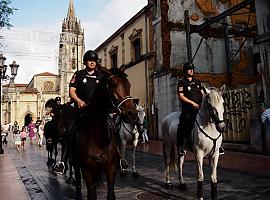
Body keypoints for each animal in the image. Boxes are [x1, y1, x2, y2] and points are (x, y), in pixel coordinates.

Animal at [72, 66, 138, 199]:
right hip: (76, 164)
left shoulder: (111, 169)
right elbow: (91, 195)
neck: (97, 137)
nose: (132, 114)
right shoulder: (87, 171)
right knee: (78, 183)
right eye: (113, 85)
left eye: (128, 85)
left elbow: (110, 195)